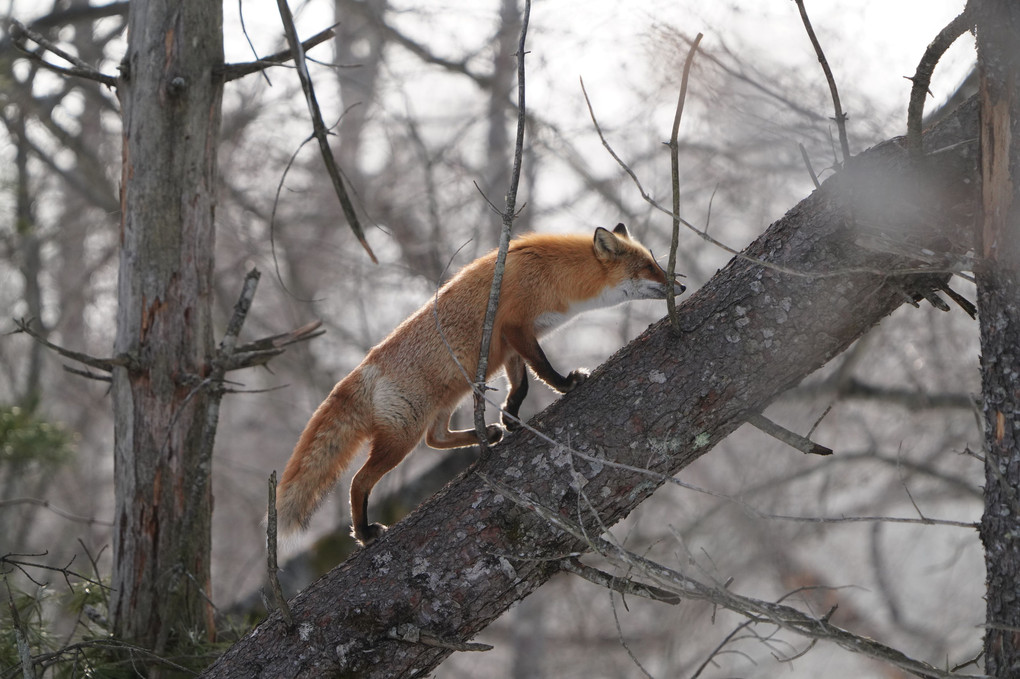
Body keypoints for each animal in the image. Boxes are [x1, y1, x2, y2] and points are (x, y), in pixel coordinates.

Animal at [277, 224, 685, 542]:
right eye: (649, 266)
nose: (678, 287)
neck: (554, 274)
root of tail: (363, 369)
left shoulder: (510, 346)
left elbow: (521, 386)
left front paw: (510, 417)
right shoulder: (515, 327)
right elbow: (542, 371)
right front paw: (566, 385)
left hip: (445, 404)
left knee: (436, 438)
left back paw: (486, 433)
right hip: (402, 436)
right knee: (360, 482)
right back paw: (363, 534)